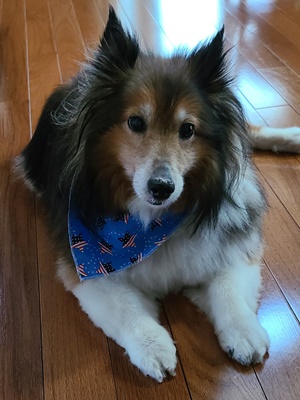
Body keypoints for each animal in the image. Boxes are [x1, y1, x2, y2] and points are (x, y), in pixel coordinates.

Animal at [15, 6, 300, 382]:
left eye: (188, 129)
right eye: (136, 122)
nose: (163, 188)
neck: (150, 226)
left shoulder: (233, 245)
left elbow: (228, 286)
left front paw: (244, 332)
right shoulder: (85, 271)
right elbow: (126, 309)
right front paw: (154, 348)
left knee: (247, 133)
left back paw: (292, 136)